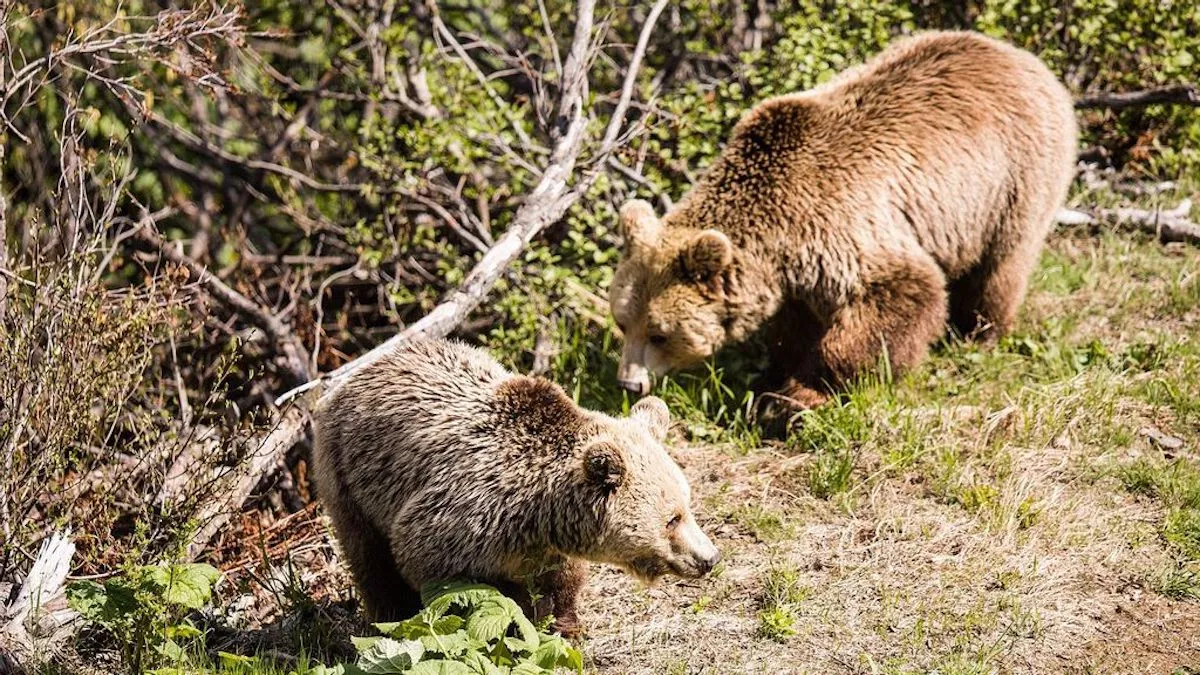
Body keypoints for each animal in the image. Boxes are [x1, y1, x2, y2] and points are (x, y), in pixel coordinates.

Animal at [311, 338, 720, 637]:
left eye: (687, 506)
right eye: (672, 519)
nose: (709, 558)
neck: (538, 512)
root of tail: (362, 369)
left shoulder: (550, 542)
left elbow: (562, 582)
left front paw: (565, 624)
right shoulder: (458, 519)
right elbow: (445, 579)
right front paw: (520, 612)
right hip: (348, 477)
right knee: (371, 560)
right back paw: (388, 617)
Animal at [608, 30, 1077, 419]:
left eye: (660, 334)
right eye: (622, 322)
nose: (628, 383)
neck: (775, 231)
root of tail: (1020, 56)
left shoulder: (840, 223)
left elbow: (900, 293)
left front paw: (799, 396)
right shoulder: (793, 276)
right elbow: (794, 328)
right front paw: (775, 375)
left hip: (1011, 182)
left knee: (998, 268)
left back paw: (979, 334)